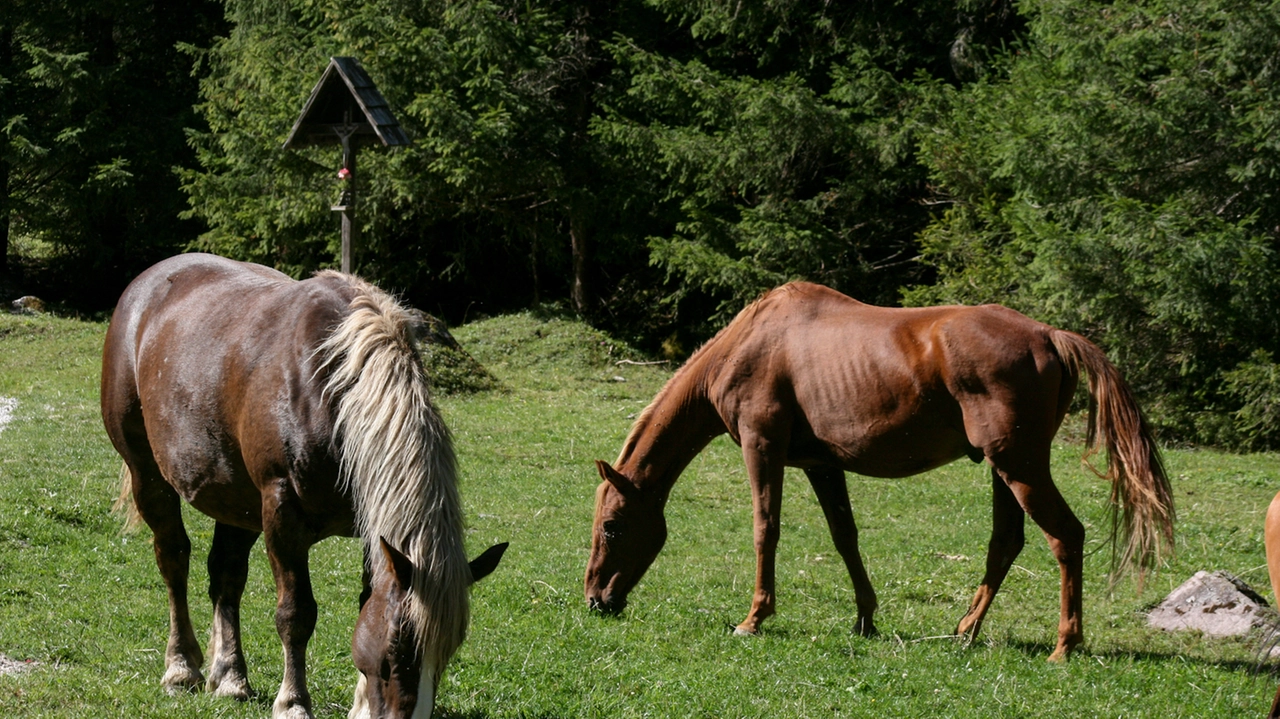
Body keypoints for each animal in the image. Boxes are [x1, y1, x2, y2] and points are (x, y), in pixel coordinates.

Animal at [586, 280, 1172, 660]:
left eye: (612, 527)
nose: (596, 600)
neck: (749, 344)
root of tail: (1050, 335)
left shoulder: (762, 447)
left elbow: (764, 530)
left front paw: (753, 618)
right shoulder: (821, 465)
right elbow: (845, 536)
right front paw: (865, 618)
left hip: (1019, 466)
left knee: (1065, 536)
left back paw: (1064, 645)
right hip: (1005, 470)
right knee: (1006, 542)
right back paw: (966, 631)